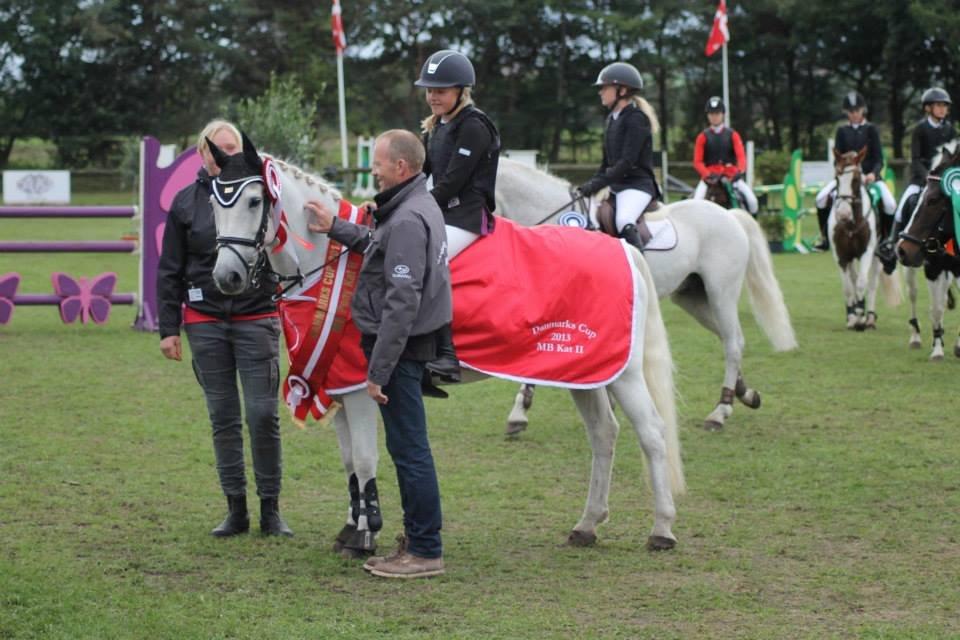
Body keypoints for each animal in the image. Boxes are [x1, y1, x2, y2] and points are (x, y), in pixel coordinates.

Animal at [204, 136, 684, 556]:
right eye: (213, 202)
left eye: (253, 202)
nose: (226, 277)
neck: (334, 261)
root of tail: (622, 250)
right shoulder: (334, 384)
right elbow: (349, 464)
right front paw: (349, 529)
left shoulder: (359, 389)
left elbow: (365, 460)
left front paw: (364, 539)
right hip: (583, 373)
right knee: (604, 434)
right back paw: (587, 525)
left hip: (624, 374)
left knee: (652, 433)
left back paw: (662, 529)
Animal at [492, 158, 800, 432]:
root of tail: (728, 215)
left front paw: (519, 412)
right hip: (692, 297)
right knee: (728, 338)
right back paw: (745, 394)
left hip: (720, 292)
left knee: (733, 342)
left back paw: (720, 412)